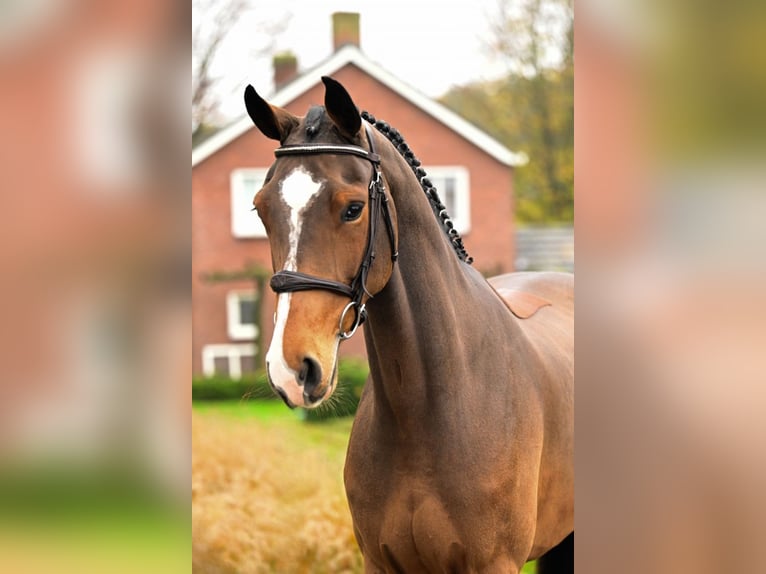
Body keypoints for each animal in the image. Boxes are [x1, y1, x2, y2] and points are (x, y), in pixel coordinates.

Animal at [243, 77, 572, 574]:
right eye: (261, 209)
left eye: (353, 208)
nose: (292, 369)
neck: (425, 407)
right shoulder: (380, 562)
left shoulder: (494, 563)